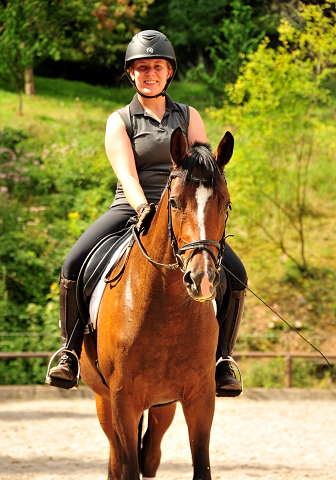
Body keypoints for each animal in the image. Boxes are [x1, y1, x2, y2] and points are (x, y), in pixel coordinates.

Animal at [80, 125, 235, 478]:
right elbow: (127, 468)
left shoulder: (200, 398)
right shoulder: (123, 401)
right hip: (104, 401)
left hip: (163, 405)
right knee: (117, 461)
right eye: (175, 202)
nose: (202, 279)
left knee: (150, 456)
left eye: (226, 204)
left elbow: (200, 467)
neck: (167, 310)